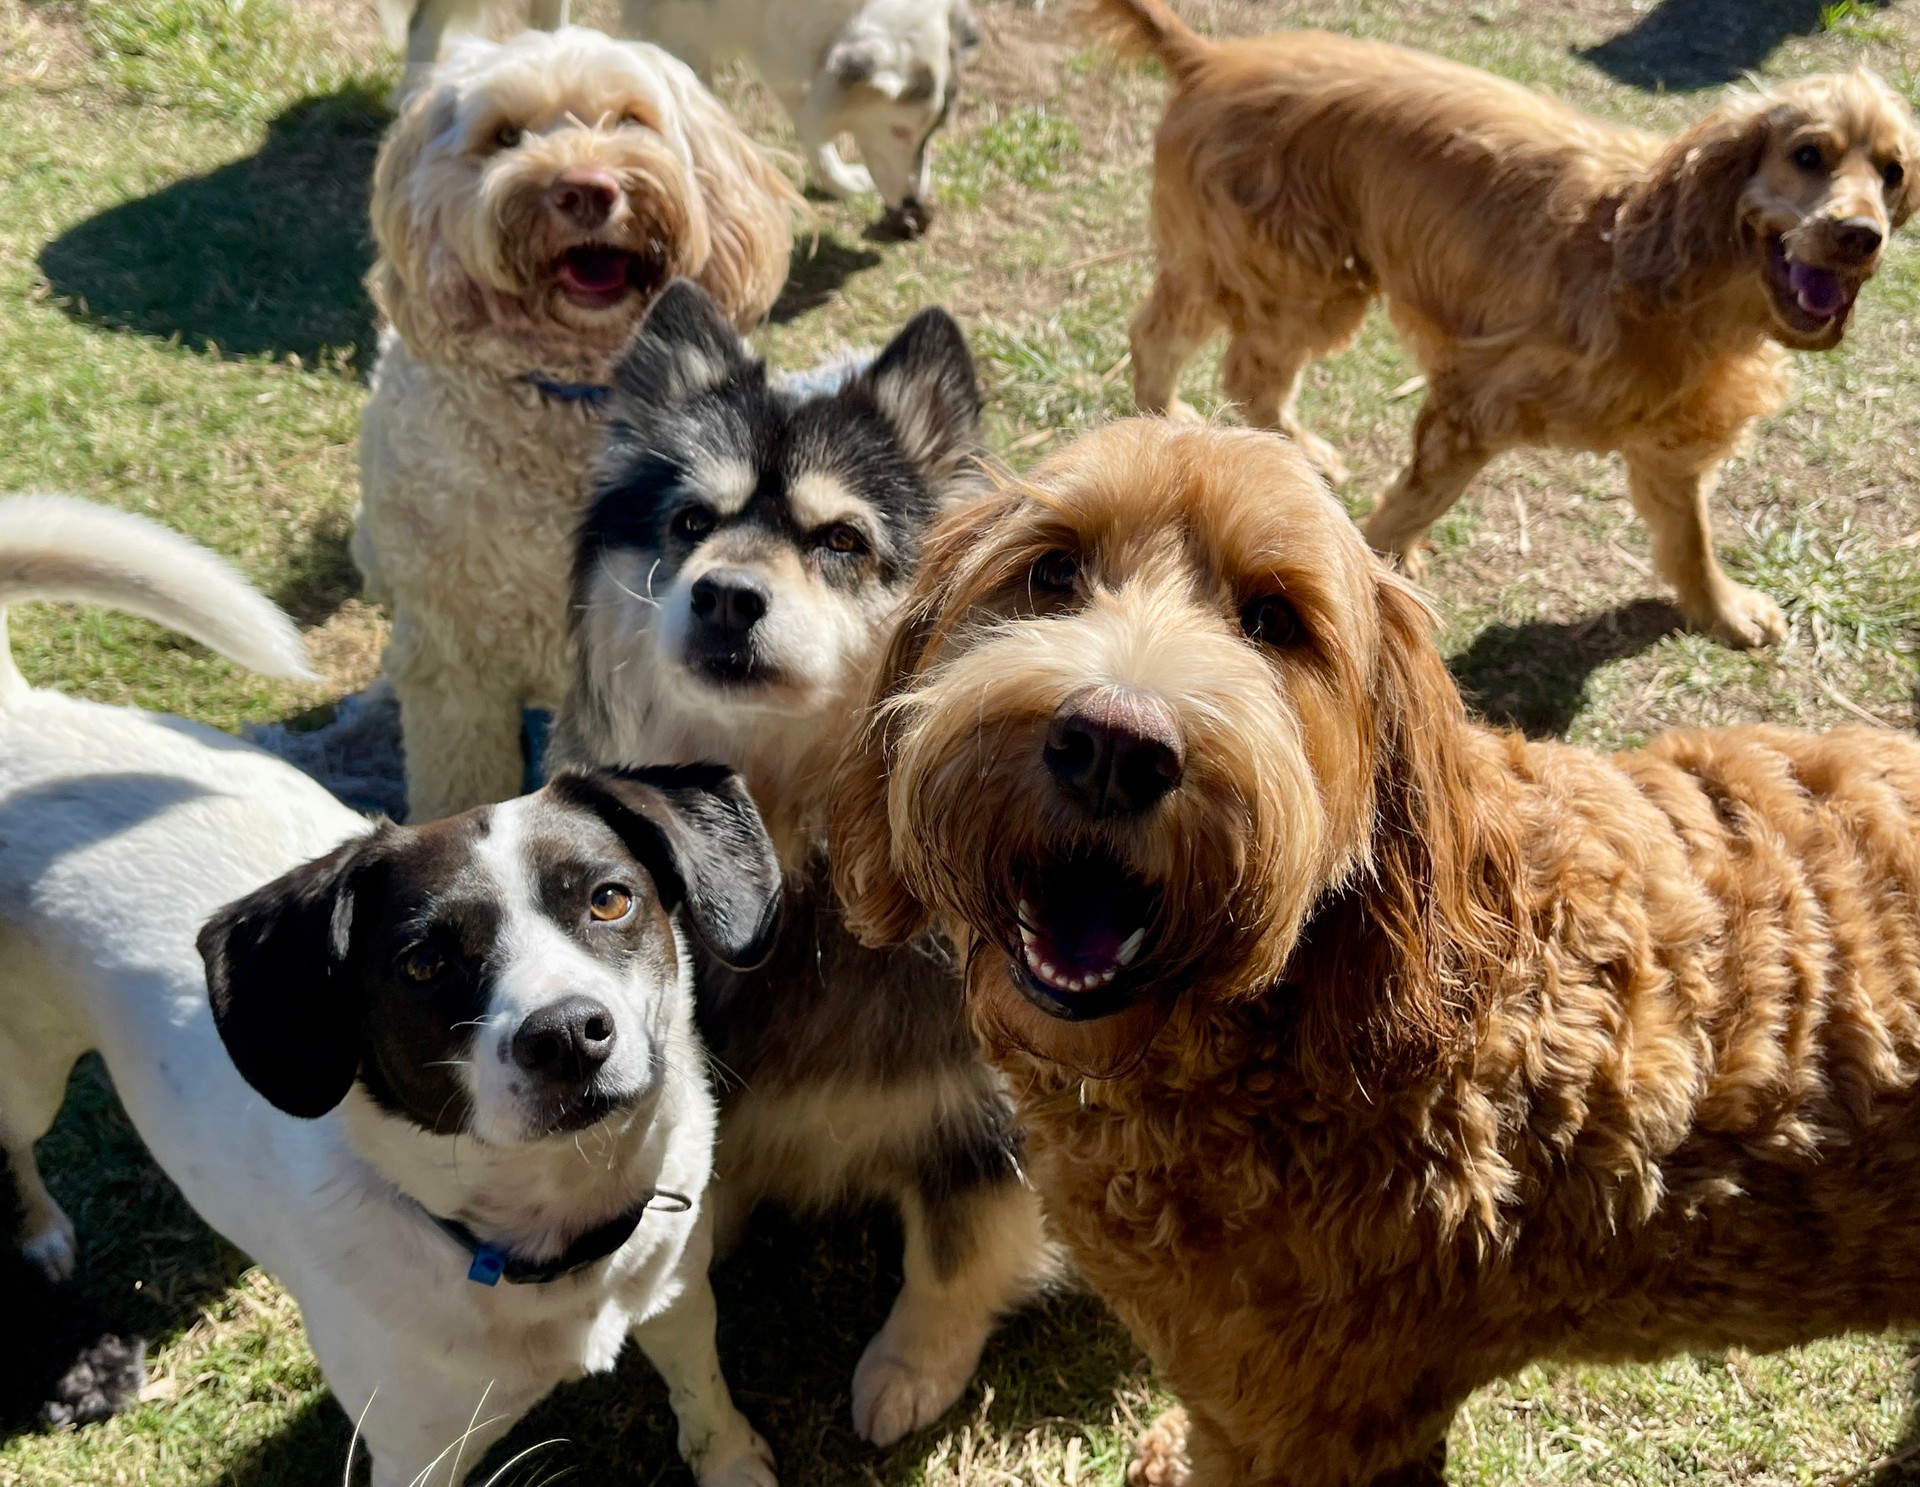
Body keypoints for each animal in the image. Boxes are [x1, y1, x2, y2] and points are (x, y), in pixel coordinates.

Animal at [0, 499, 783, 1487]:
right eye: (422, 962)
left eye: (609, 898)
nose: (567, 1033)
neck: (550, 1240)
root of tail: (19, 712)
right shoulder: (416, 1453)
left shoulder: (677, 1293)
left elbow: (703, 1392)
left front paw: (731, 1461)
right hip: (23, 1074)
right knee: (15, 1145)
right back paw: (39, 1234)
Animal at [357, 29, 798, 826]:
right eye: (505, 137)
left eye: (629, 119)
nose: (586, 189)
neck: (574, 399)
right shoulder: (455, 664)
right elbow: (460, 779)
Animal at [389, 0, 975, 237]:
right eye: (901, 129)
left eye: (929, 131)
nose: (920, 213)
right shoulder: (681, 30)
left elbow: (803, 109)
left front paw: (836, 178)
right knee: (422, 25)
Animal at [549, 282, 1059, 1452]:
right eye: (692, 524)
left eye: (841, 539)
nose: (727, 596)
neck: (792, 836)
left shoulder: (988, 1117)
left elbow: (951, 1256)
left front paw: (911, 1368)